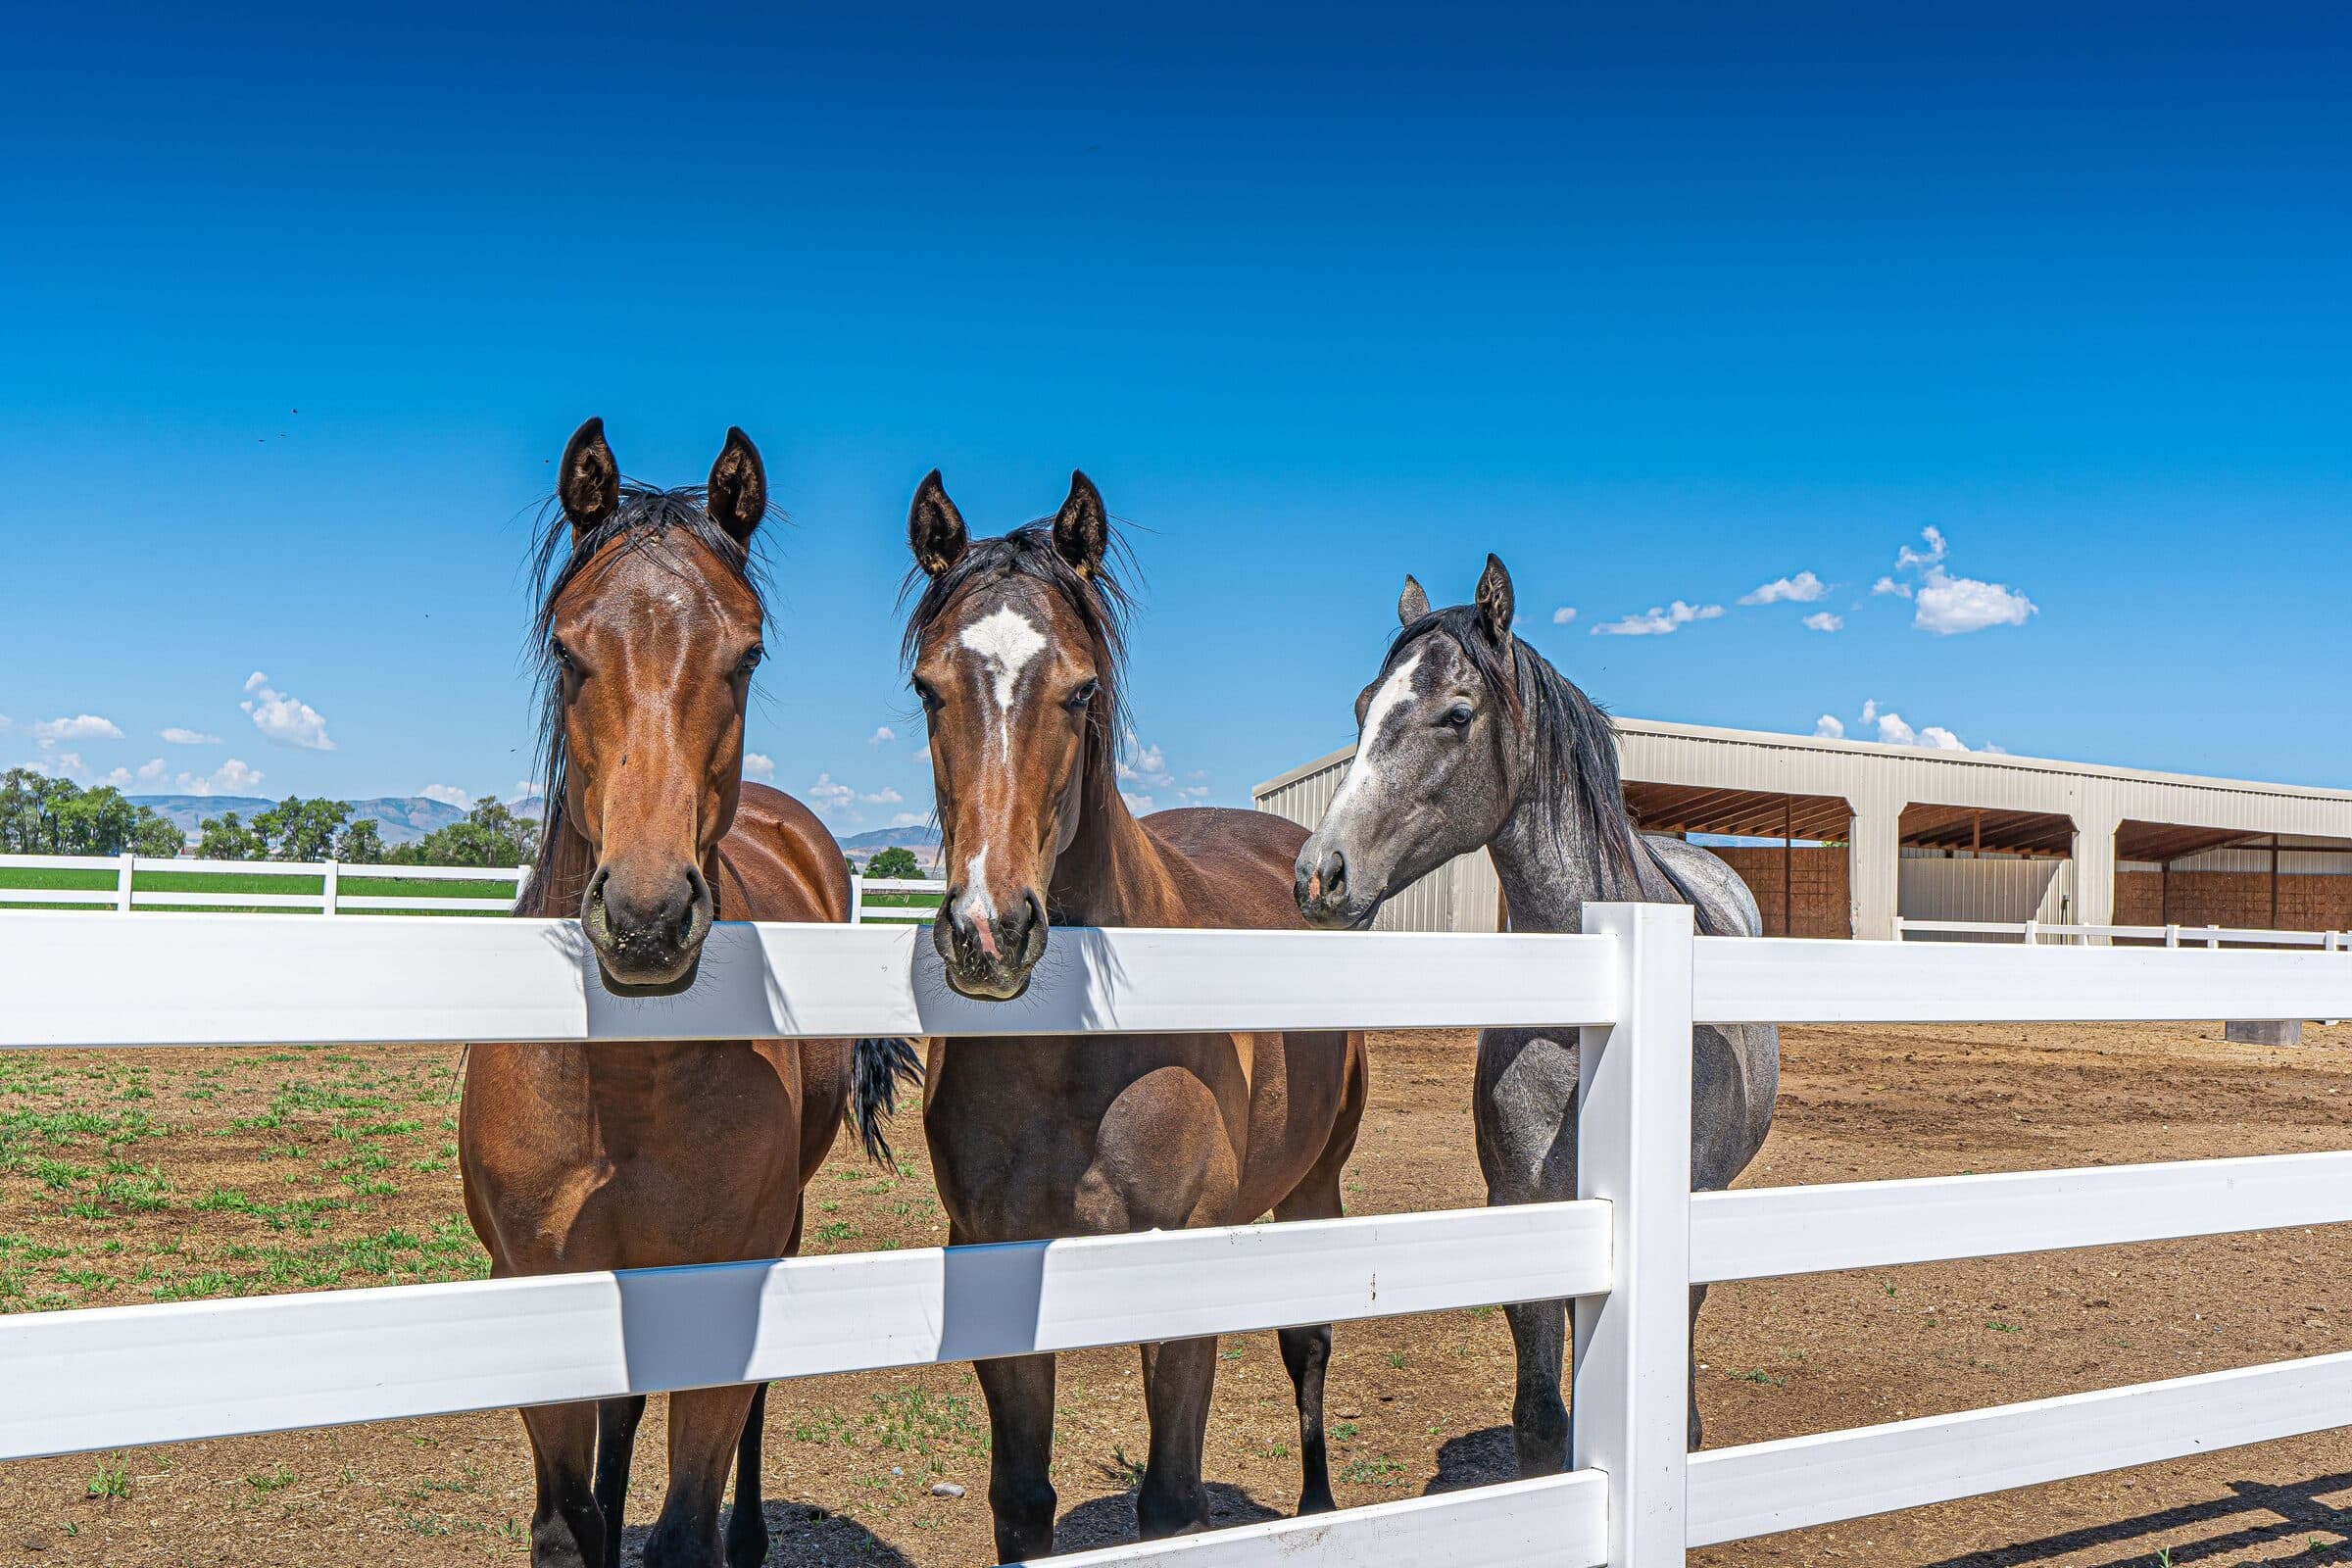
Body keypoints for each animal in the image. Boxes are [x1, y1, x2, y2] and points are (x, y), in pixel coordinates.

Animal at [460, 419, 918, 1568]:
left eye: (746, 652)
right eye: (568, 650)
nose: (648, 915)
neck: (626, 1083)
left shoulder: (725, 1282)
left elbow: (683, 1525)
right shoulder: (540, 1289)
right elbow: (568, 1522)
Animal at [898, 470, 1371, 1560]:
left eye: (1081, 691)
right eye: (929, 689)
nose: (989, 929)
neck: (1079, 1061)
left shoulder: (1183, 1270)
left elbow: (1170, 1502)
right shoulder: (994, 1260)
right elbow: (1021, 1500)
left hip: (1313, 1185)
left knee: (1308, 1343)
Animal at [1291, 556, 1779, 1464]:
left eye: (1456, 713)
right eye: (1361, 707)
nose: (1320, 873)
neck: (1588, 1027)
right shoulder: (1521, 1203)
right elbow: (1542, 1418)